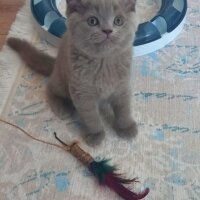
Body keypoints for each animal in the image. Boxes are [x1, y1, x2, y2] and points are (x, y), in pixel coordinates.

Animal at [7, 0, 139, 147]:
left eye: (118, 21)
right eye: (92, 21)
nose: (107, 30)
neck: (103, 63)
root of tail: (56, 63)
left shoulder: (123, 87)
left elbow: (124, 109)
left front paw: (126, 127)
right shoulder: (82, 93)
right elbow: (91, 116)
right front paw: (96, 134)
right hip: (62, 80)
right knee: (50, 88)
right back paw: (62, 107)